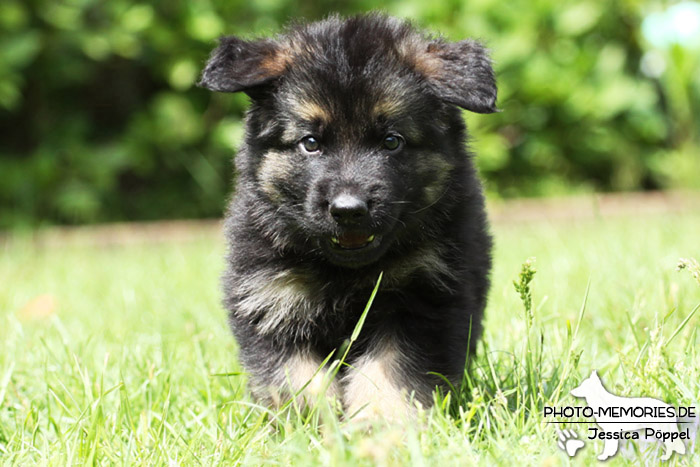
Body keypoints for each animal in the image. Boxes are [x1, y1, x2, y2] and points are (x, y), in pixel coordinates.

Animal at [198, 13, 498, 420]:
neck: (344, 273)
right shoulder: (270, 300)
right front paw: (311, 427)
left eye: (392, 141)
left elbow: (390, 374)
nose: (348, 210)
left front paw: (381, 426)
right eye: (310, 143)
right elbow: (296, 380)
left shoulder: (423, 299)